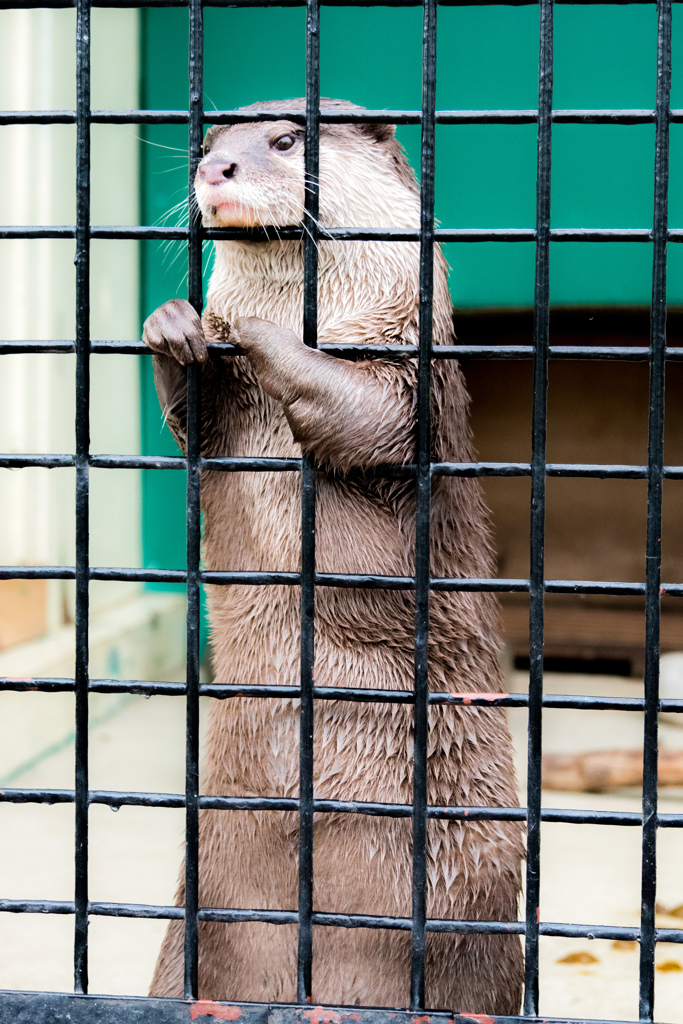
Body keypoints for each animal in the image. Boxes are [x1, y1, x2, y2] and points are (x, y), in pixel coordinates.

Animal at [145, 97, 524, 1015]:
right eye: (211, 143)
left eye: (286, 140)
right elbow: (191, 421)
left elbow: (357, 413)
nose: (216, 170)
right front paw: (173, 324)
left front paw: (257, 333)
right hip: (190, 923)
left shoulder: (405, 369)